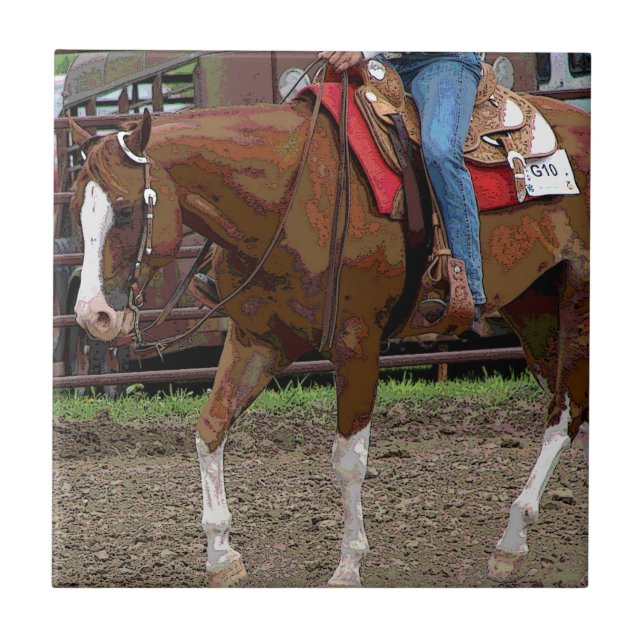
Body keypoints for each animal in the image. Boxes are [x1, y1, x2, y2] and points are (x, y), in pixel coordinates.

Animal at [68, 79, 589, 586]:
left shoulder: (357, 344)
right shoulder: (257, 340)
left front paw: (348, 565)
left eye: (126, 210)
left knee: (563, 411)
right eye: (76, 210)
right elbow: (210, 428)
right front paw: (221, 557)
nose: (93, 315)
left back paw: (512, 538)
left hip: (576, 298)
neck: (292, 198)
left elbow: (348, 458)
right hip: (533, 304)